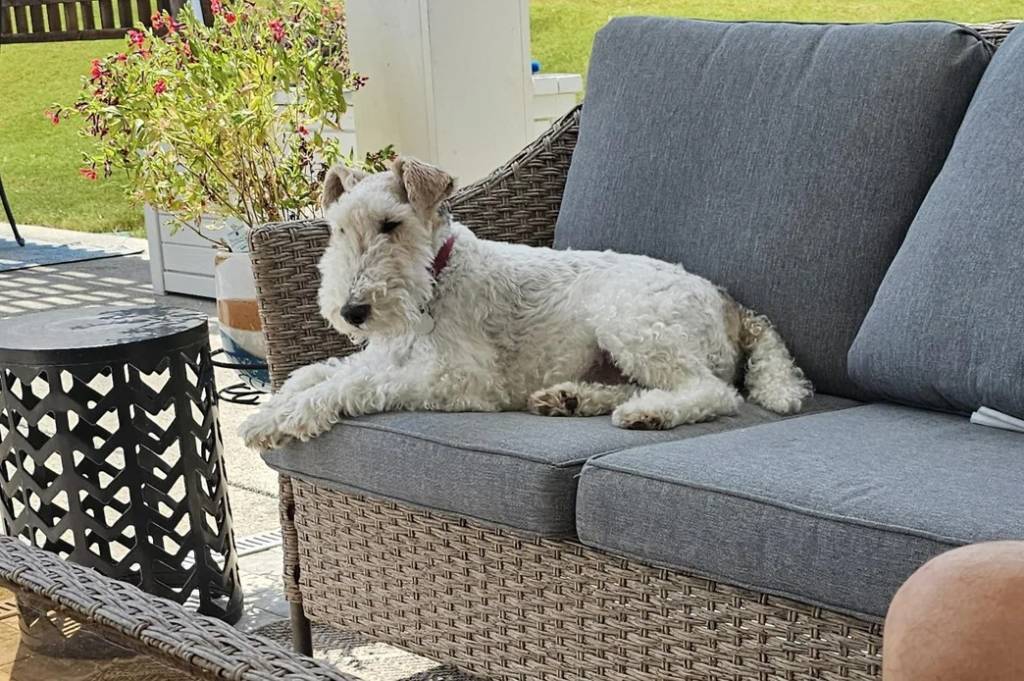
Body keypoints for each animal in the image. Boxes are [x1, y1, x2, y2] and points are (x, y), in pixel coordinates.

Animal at [240, 157, 812, 451]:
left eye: (391, 225)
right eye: (338, 230)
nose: (352, 312)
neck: (438, 277)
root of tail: (732, 305)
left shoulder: (460, 379)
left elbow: (351, 384)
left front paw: (273, 421)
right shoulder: (385, 354)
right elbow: (322, 371)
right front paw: (280, 401)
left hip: (631, 321)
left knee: (712, 392)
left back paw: (644, 414)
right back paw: (569, 399)